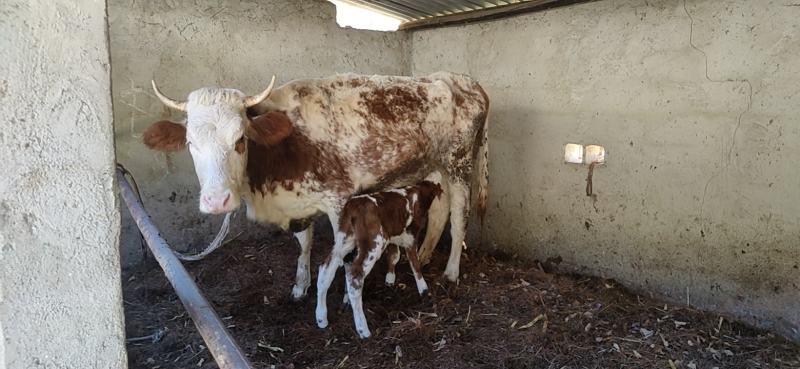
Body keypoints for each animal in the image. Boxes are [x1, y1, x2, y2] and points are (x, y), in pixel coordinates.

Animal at [145, 72, 488, 300]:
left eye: (240, 139)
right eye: (190, 143)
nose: (217, 201)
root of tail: (460, 79)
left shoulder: (339, 199)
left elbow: (341, 251)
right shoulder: (298, 200)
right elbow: (304, 243)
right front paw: (301, 285)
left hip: (459, 163)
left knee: (459, 216)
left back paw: (451, 272)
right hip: (433, 166)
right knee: (440, 210)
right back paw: (427, 254)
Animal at [314, 180, 444, 338]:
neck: (417, 194)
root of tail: (353, 205)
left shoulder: (394, 236)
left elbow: (394, 255)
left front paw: (390, 279)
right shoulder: (411, 237)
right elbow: (415, 264)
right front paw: (424, 291)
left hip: (344, 239)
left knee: (326, 269)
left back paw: (321, 318)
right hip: (374, 243)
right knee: (355, 276)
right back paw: (363, 330)